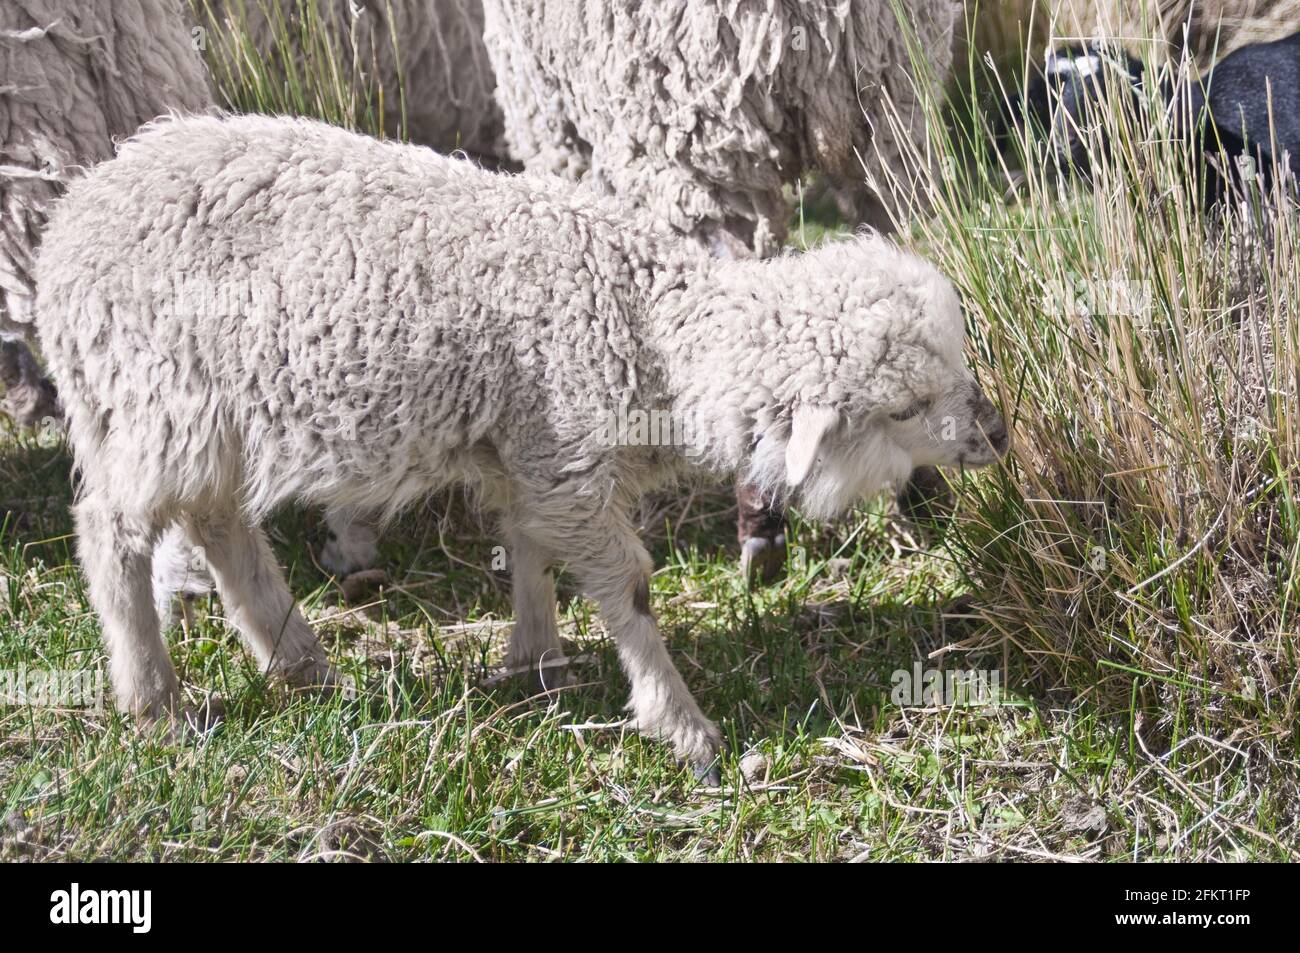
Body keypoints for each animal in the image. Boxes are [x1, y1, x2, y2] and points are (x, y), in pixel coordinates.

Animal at [30, 115, 1003, 774]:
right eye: (908, 405)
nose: (994, 432)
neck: (645, 323)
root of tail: (71, 219)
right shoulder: (564, 449)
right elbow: (629, 585)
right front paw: (680, 722)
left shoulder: (534, 449)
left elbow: (530, 547)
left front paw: (538, 659)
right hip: (159, 396)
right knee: (113, 529)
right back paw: (153, 699)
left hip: (205, 416)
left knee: (220, 524)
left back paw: (301, 665)